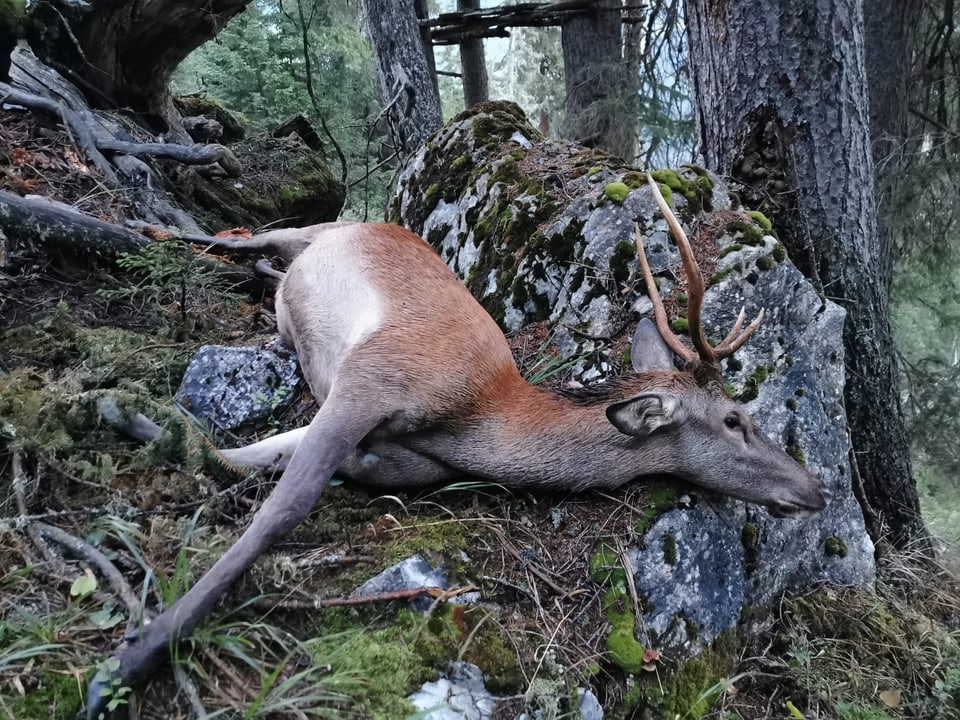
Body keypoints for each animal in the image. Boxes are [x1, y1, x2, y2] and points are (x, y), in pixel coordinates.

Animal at [86, 174, 828, 716]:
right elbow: (285, 505)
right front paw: (131, 659)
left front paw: (131, 418)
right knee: (243, 235)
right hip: (314, 231)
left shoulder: (388, 444)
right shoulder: (372, 375)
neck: (480, 422)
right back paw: (147, 229)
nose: (813, 489)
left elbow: (239, 457)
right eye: (735, 419)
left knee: (262, 266)